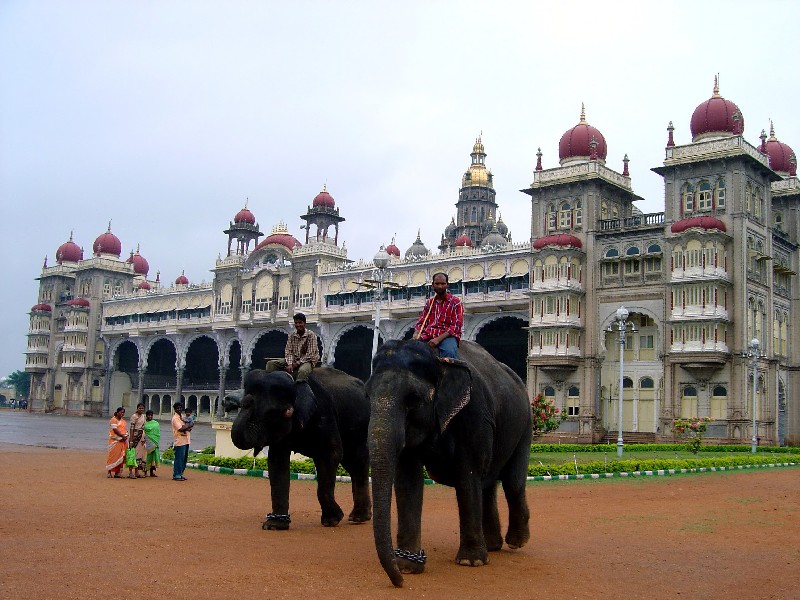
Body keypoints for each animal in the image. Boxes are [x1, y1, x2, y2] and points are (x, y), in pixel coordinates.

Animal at [228, 366, 372, 528]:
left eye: (275, 413)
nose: (246, 400)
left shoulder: (324, 413)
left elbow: (331, 453)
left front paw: (332, 521)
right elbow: (276, 462)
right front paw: (274, 525)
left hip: (361, 425)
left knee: (357, 459)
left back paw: (359, 518)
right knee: (350, 463)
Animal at [368, 340, 532, 588]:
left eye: (413, 399)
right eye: (367, 395)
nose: (398, 582)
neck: (437, 359)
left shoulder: (474, 413)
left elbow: (467, 475)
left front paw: (470, 562)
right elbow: (408, 480)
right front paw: (408, 566)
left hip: (525, 423)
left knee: (512, 482)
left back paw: (515, 542)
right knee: (487, 484)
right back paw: (493, 546)